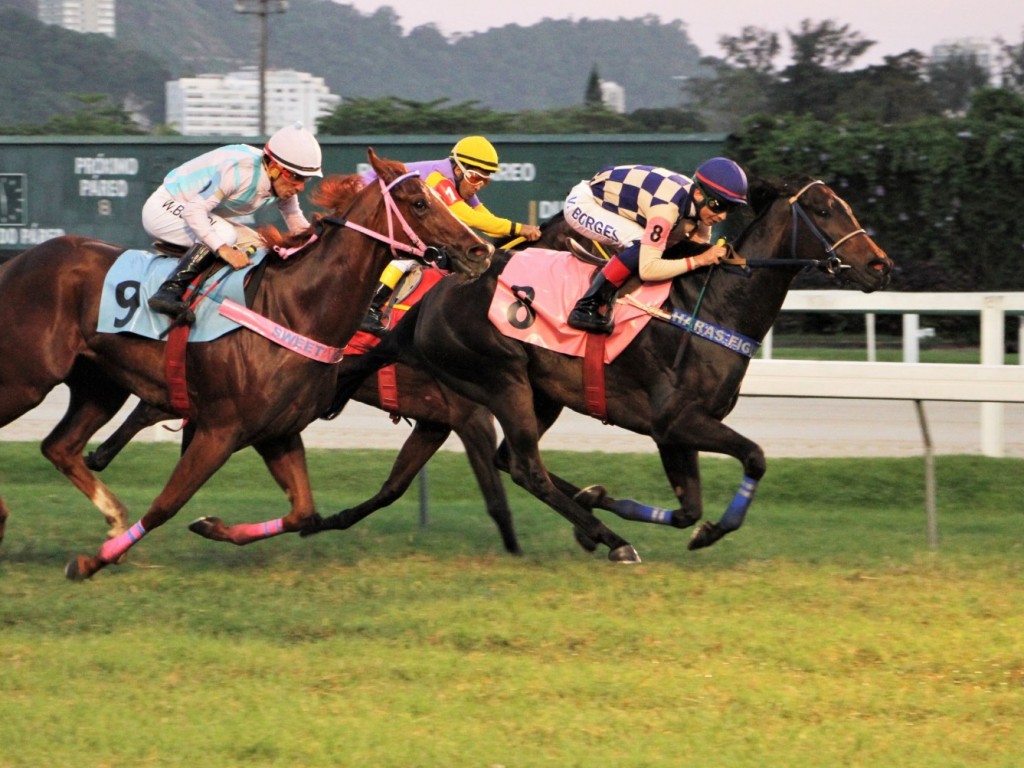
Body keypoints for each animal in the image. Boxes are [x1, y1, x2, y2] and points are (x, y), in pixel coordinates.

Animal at [0, 148, 491, 577]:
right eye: (420, 203)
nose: (478, 252)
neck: (292, 307)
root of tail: (19, 262)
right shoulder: (219, 430)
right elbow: (165, 505)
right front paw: (89, 563)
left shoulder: (278, 431)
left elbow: (303, 513)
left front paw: (210, 526)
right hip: (25, 379)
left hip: (100, 385)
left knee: (60, 447)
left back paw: (104, 511)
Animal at [313, 177, 897, 561]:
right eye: (824, 209)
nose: (880, 265)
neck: (711, 308)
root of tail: (434, 300)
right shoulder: (676, 421)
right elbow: (754, 457)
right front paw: (712, 529)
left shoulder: (673, 432)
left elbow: (687, 508)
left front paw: (611, 502)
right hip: (502, 381)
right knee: (526, 468)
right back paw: (612, 541)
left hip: (537, 394)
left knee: (510, 461)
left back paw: (590, 518)